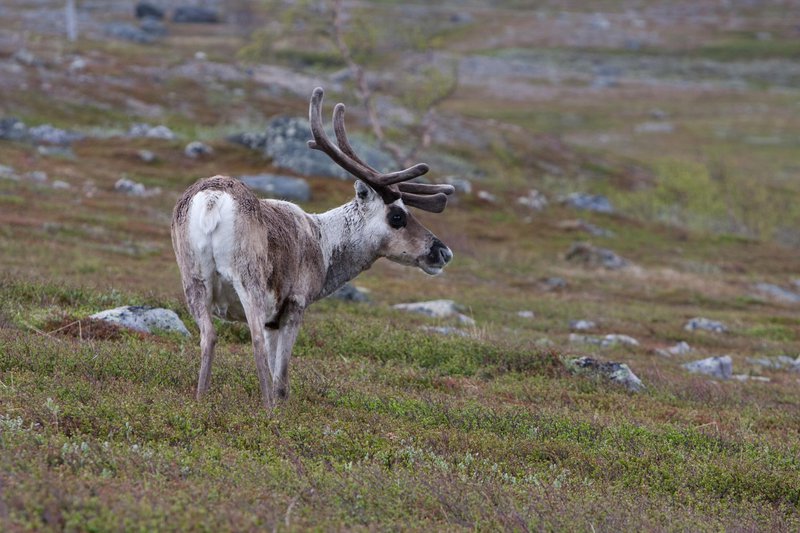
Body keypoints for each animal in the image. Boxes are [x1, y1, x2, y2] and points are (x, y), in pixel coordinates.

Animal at [171, 87, 454, 409]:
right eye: (397, 216)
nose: (442, 252)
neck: (323, 244)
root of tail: (212, 199)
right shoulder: (295, 301)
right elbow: (281, 377)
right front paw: (280, 407)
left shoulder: (273, 319)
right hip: (248, 278)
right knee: (253, 340)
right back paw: (267, 409)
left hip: (192, 277)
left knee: (209, 335)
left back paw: (200, 400)